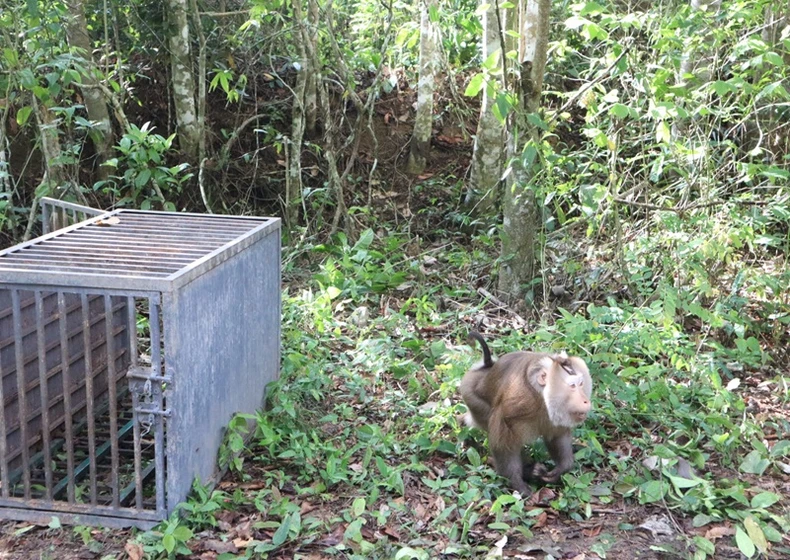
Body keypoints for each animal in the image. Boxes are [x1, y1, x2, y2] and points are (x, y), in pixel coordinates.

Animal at [458, 332, 592, 494]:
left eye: (581, 384)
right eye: (572, 386)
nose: (585, 401)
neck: (540, 396)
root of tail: (485, 368)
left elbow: (556, 435)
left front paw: (561, 469)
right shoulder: (518, 403)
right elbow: (503, 444)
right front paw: (517, 482)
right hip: (471, 395)